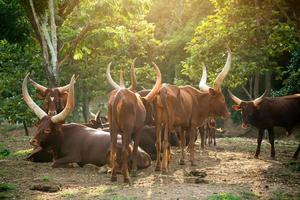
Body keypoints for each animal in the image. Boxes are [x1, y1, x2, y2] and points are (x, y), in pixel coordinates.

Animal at [21, 73, 150, 170]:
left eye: (47, 130)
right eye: (38, 126)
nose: (32, 141)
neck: (63, 137)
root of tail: (145, 156)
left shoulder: (73, 156)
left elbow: (55, 163)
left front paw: (73, 164)